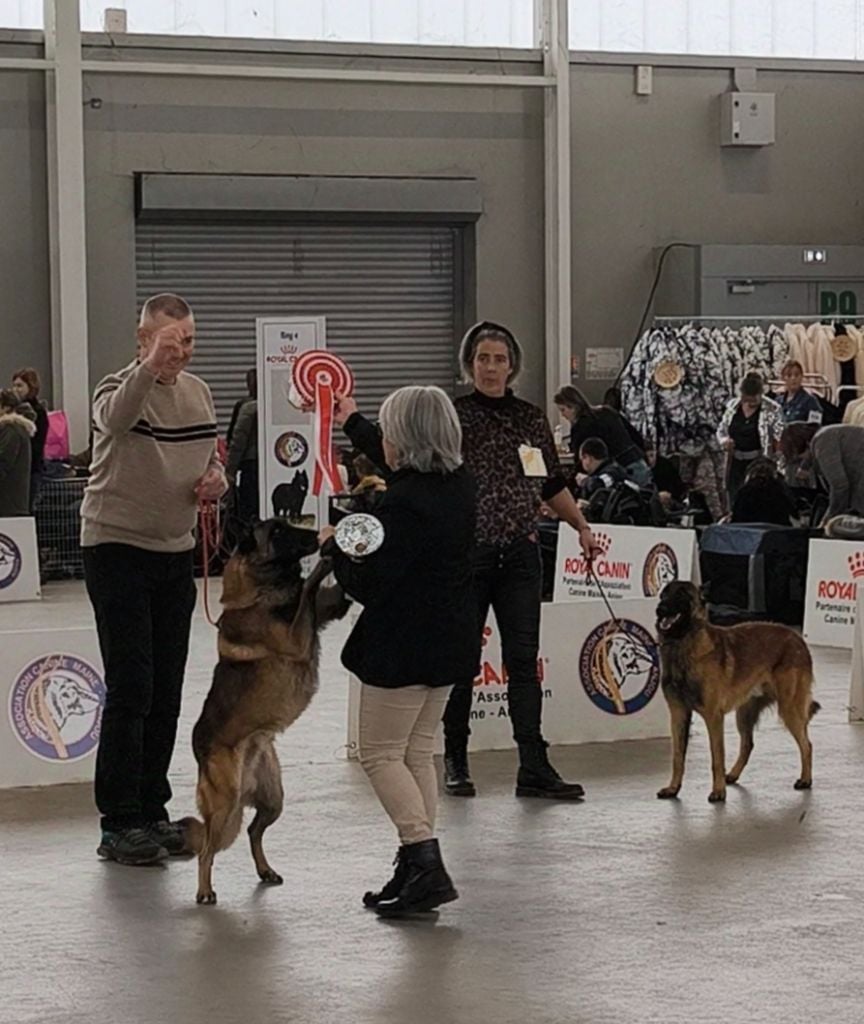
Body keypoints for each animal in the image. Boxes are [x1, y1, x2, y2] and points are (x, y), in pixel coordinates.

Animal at [178, 520, 348, 905]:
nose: (316, 533)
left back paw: (265, 870)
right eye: (279, 533)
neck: (261, 591)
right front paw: (322, 564)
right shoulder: (295, 638)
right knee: (207, 849)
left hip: (273, 800)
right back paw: (204, 890)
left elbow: (326, 597)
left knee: (254, 830)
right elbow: (306, 590)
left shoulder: (326, 611)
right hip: (225, 806)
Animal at [659, 581, 818, 802]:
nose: (661, 609)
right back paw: (733, 775)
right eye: (663, 594)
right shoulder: (678, 715)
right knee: (748, 744)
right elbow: (677, 757)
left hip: (789, 709)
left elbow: (717, 757)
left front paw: (718, 792)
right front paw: (673, 788)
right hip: (744, 714)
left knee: (807, 745)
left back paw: (805, 780)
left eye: (682, 595)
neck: (682, 645)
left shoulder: (713, 717)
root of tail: (798, 638)